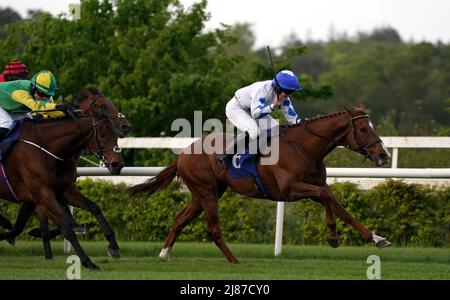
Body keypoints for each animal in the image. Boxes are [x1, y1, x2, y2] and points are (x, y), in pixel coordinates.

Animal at [126, 105, 390, 262]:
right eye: (364, 128)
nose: (384, 155)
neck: (305, 148)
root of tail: (182, 153)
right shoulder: (290, 190)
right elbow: (327, 199)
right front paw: (333, 237)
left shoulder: (315, 187)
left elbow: (339, 206)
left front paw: (377, 238)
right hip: (207, 193)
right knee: (213, 229)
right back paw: (235, 261)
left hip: (204, 194)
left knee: (180, 219)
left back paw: (164, 254)